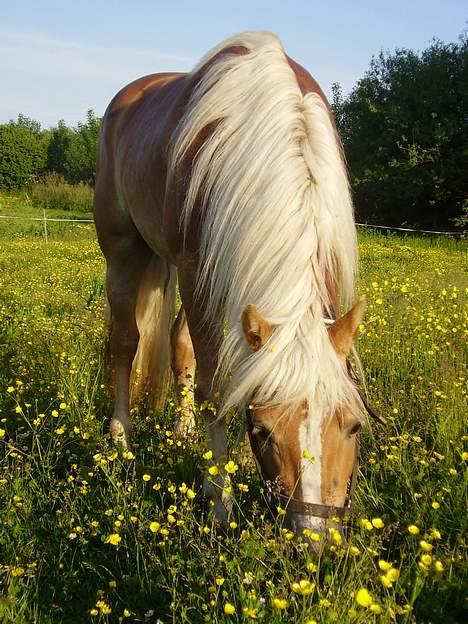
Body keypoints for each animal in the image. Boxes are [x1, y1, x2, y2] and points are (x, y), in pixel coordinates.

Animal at [93, 31, 368, 544]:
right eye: (261, 430)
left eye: (355, 425)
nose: (313, 537)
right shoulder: (198, 274)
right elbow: (215, 389)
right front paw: (219, 498)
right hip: (124, 255)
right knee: (125, 342)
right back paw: (119, 437)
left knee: (177, 344)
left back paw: (182, 430)